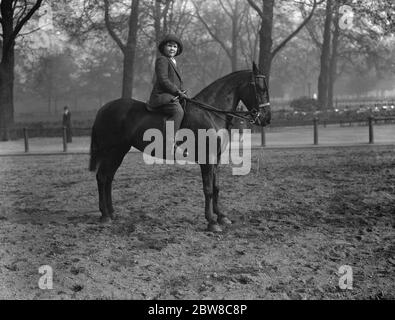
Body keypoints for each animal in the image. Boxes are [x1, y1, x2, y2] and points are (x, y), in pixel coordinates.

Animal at [88, 62, 270, 232]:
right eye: (261, 88)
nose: (266, 118)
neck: (210, 113)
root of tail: (103, 108)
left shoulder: (216, 158)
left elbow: (216, 187)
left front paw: (222, 217)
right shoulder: (207, 159)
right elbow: (208, 189)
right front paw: (211, 222)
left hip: (119, 151)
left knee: (109, 177)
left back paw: (111, 213)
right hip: (111, 150)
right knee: (102, 177)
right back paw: (105, 216)